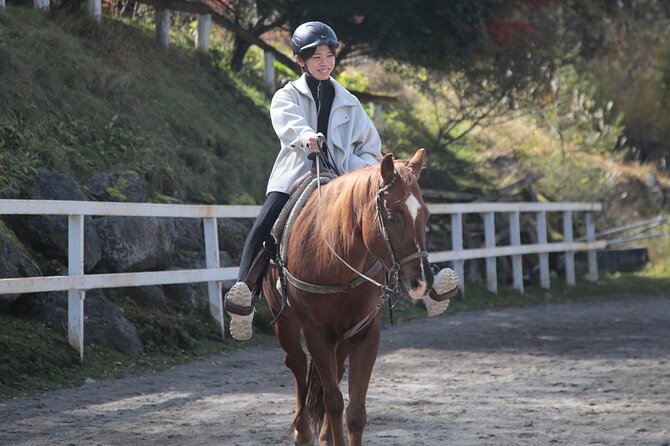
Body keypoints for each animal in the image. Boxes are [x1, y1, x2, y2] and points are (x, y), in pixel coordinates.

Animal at [260, 148, 434, 444]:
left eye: (426, 215)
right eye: (393, 216)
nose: (421, 281)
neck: (335, 260)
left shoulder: (365, 332)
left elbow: (355, 411)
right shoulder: (316, 333)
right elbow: (333, 400)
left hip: (340, 336)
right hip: (286, 323)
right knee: (297, 365)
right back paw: (303, 432)